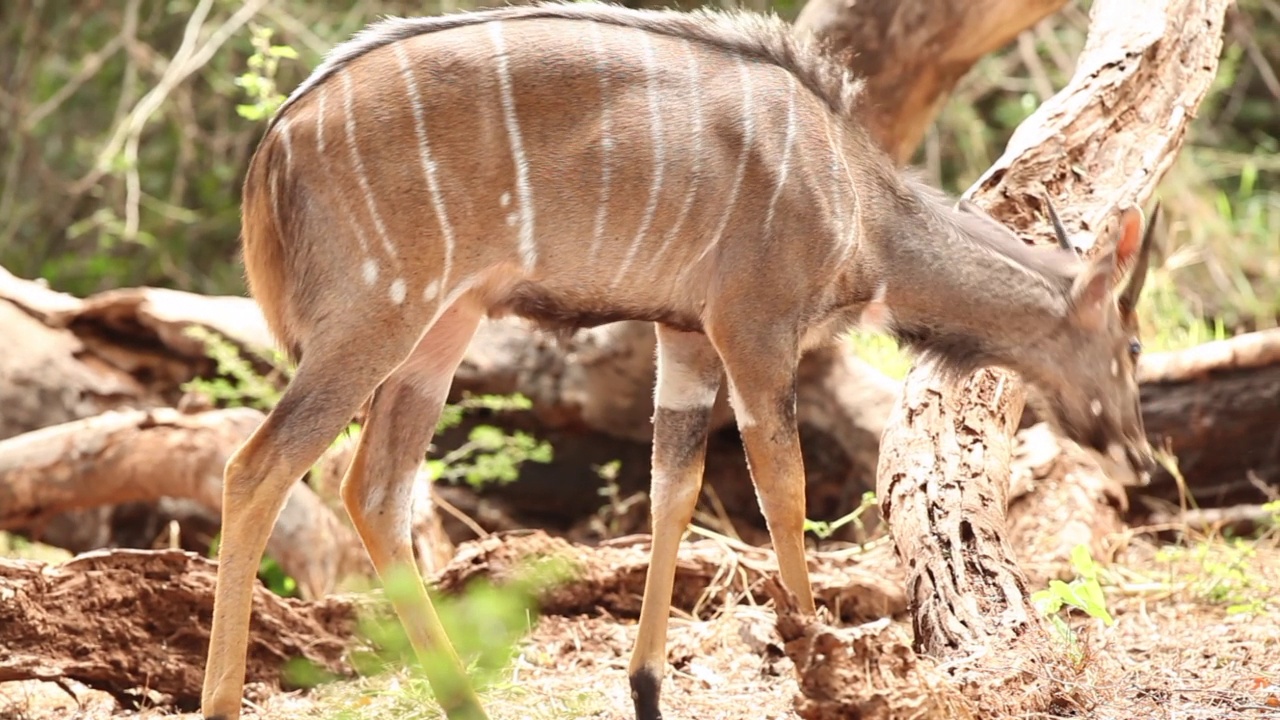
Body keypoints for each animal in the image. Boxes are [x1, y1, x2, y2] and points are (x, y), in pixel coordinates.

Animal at [202, 2, 1162, 712]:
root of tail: (272, 146)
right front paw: (820, 659)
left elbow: (677, 484)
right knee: (258, 466)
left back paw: (465, 699)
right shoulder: (756, 327)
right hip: (378, 316)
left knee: (374, 487)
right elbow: (784, 489)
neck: (861, 206)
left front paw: (648, 685)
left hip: (444, 327)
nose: (1143, 457)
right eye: (1134, 344)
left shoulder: (687, 336)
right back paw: (222, 700)